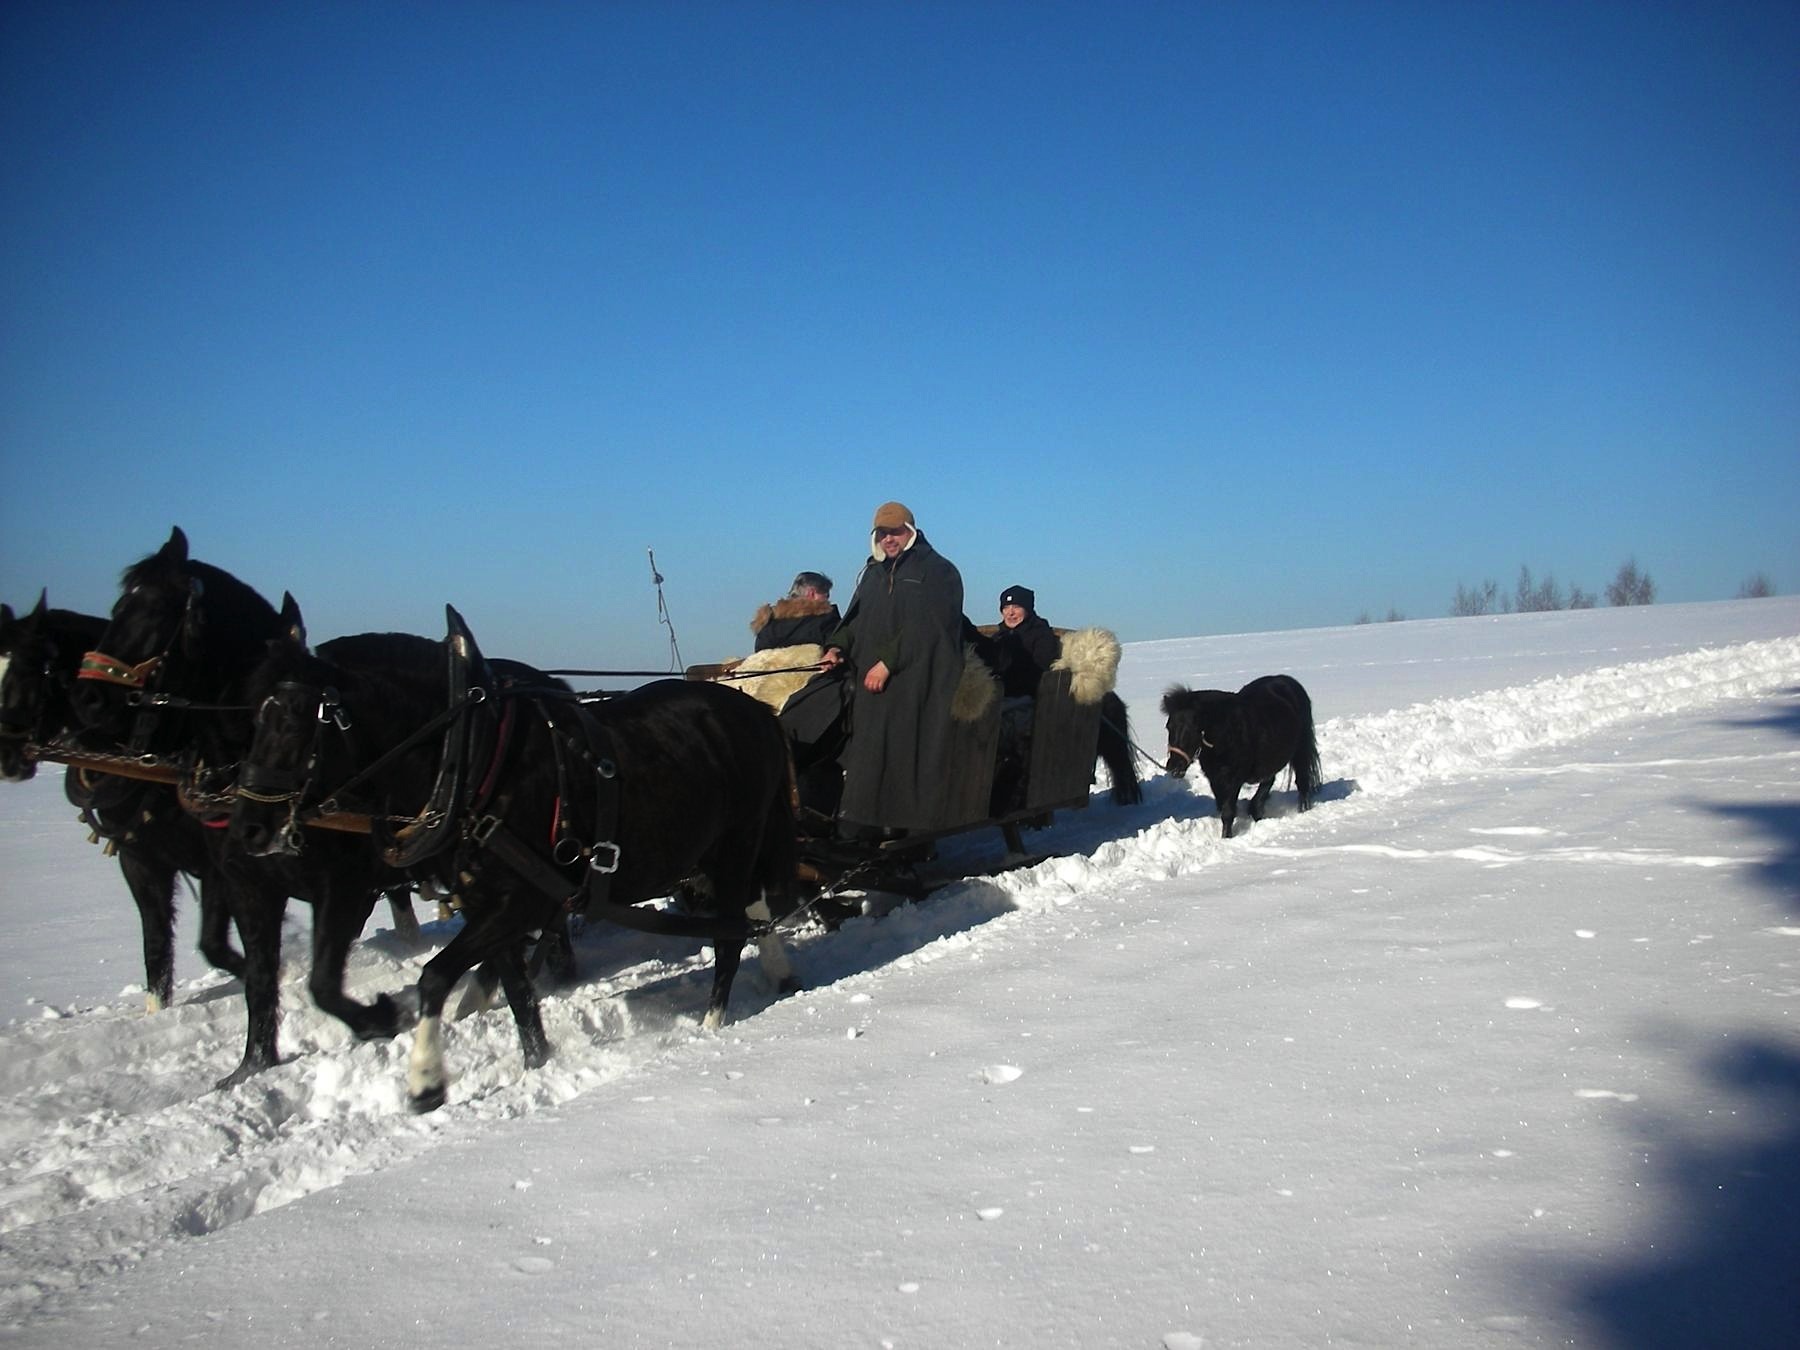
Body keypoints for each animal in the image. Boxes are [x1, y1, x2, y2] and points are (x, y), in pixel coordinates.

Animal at [0, 590, 243, 1008]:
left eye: (27, 669)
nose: (4, 756)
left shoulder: (219, 863)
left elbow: (214, 944)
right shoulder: (139, 861)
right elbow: (156, 948)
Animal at [70, 529, 424, 1087]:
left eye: (153, 609)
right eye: (117, 605)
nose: (87, 696)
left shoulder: (343, 885)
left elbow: (323, 981)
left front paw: (380, 1016)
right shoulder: (238, 878)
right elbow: (257, 975)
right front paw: (251, 1066)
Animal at [1166, 673, 1324, 835]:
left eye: (1192, 730)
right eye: (1169, 727)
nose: (1174, 767)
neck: (1227, 733)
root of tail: (1287, 680)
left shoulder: (1234, 779)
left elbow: (1228, 811)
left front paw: (1227, 837)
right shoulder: (1215, 779)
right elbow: (1222, 806)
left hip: (1301, 750)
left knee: (1302, 781)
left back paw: (1303, 810)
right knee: (1268, 782)